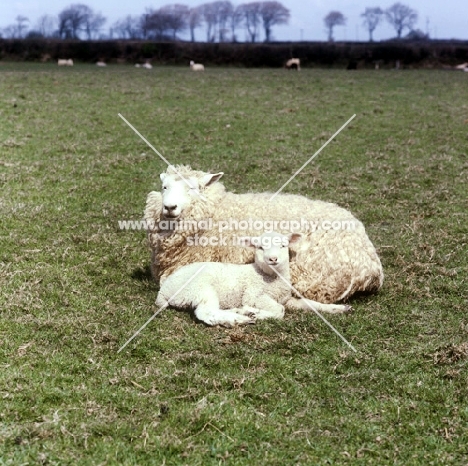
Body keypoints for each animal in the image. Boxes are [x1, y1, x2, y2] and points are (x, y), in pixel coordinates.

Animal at [155, 231, 350, 326]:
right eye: (260, 247)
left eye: (283, 245)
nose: (273, 259)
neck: (270, 278)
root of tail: (163, 291)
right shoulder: (254, 295)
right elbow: (279, 310)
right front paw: (257, 313)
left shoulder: (286, 298)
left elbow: (310, 304)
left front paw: (339, 308)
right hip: (199, 288)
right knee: (205, 312)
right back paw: (238, 319)